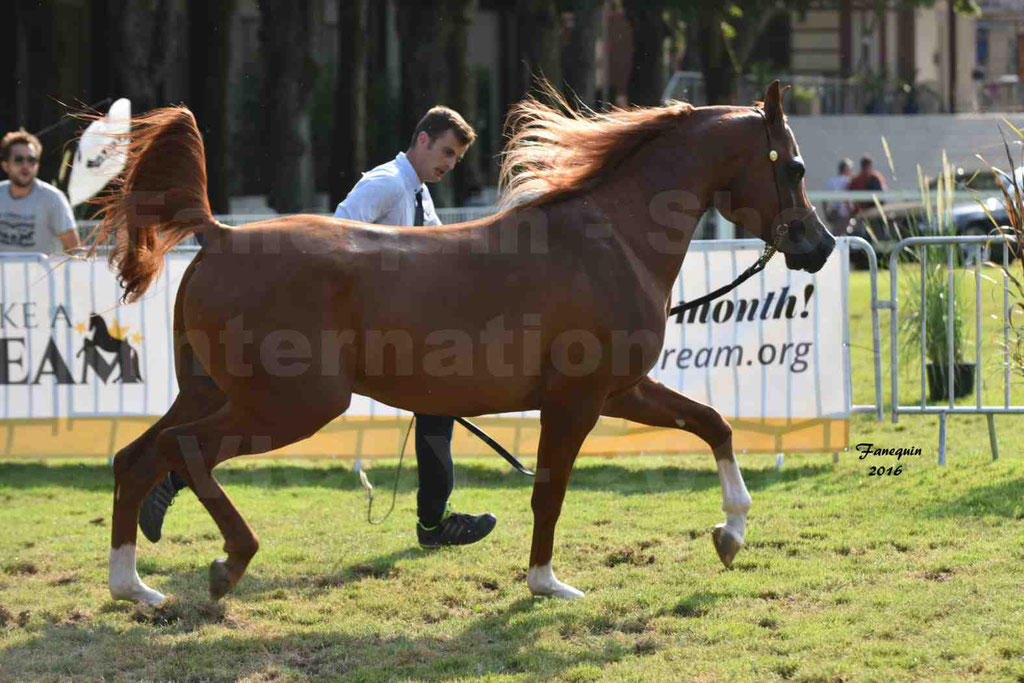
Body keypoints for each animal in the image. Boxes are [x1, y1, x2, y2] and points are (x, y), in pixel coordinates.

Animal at [96, 80, 831, 602]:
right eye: (794, 166)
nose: (820, 246)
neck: (611, 242)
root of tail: (219, 233)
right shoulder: (577, 401)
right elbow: (551, 490)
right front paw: (547, 583)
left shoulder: (620, 390)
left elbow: (714, 424)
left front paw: (730, 532)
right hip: (291, 405)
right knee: (186, 451)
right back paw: (228, 564)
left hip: (213, 391)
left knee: (139, 456)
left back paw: (135, 585)